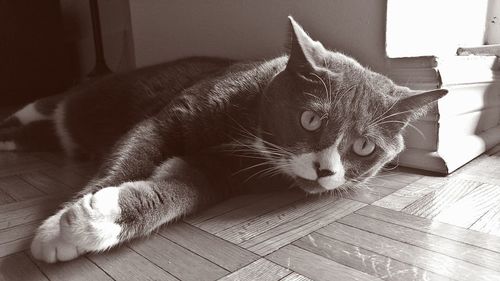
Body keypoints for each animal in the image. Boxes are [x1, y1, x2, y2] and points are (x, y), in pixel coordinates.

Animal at [0, 18, 446, 262]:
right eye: (310, 119)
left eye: (364, 147)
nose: (324, 170)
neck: (247, 133)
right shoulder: (165, 119)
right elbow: (129, 156)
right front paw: (62, 222)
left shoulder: (226, 175)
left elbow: (182, 191)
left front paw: (93, 223)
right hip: (84, 98)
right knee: (41, 109)